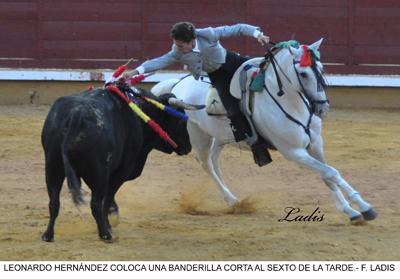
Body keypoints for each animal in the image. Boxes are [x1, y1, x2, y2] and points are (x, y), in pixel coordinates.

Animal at [41, 88, 198, 243]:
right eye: (180, 121)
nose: (188, 147)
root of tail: (75, 115)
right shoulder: (122, 170)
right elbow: (108, 197)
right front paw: (111, 221)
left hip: (52, 167)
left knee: (54, 202)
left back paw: (48, 235)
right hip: (99, 173)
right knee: (95, 203)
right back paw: (105, 234)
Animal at [151, 38, 378, 223]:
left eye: (321, 68)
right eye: (303, 73)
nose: (322, 108)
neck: (290, 103)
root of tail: (178, 83)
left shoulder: (315, 143)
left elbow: (327, 175)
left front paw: (351, 211)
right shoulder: (293, 152)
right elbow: (331, 172)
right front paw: (365, 208)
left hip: (221, 136)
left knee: (215, 162)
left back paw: (234, 200)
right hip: (199, 137)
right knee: (206, 164)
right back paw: (232, 200)